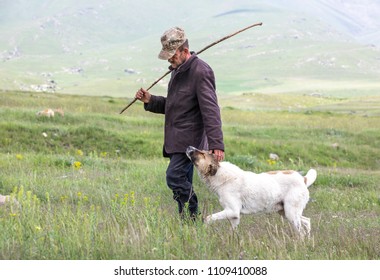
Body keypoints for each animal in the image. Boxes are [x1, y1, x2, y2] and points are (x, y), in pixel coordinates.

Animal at [186, 147, 316, 236]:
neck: (219, 174)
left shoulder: (232, 211)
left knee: (301, 232)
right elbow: (233, 232)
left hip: (291, 213)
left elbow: (208, 218)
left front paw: (204, 228)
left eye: (202, 154)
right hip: (285, 212)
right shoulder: (234, 217)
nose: (189, 147)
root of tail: (303, 179)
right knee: (307, 221)